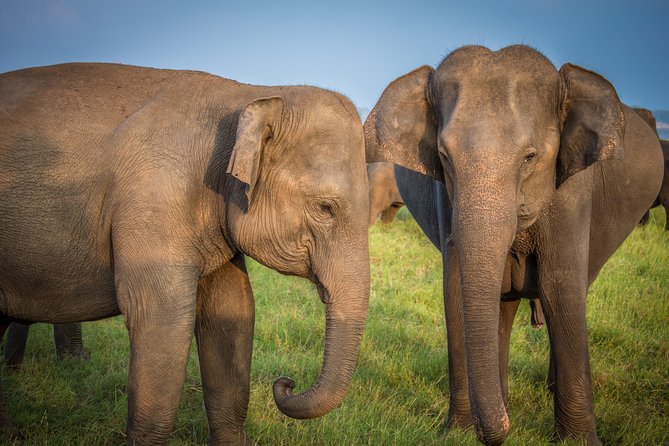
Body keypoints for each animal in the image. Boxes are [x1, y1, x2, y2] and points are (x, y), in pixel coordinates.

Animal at [0, 62, 370, 445]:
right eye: (326, 208)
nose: (285, 383)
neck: (252, 94)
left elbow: (232, 310)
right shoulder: (153, 202)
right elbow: (162, 319)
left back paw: (12, 433)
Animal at [365, 45, 663, 445]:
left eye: (530, 157)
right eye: (443, 156)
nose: (506, 428)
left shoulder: (571, 193)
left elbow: (560, 290)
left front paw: (579, 441)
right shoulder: (447, 199)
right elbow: (457, 291)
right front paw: (459, 432)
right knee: (503, 304)